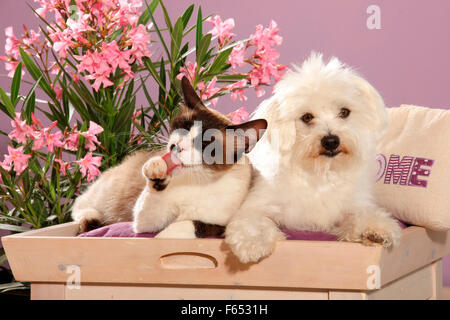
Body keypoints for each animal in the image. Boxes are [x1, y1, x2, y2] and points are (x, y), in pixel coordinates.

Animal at [224, 52, 400, 262]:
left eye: (344, 112)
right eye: (307, 117)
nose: (331, 141)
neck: (320, 173)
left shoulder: (350, 206)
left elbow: (360, 215)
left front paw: (373, 228)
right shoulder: (258, 204)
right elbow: (254, 220)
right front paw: (253, 242)